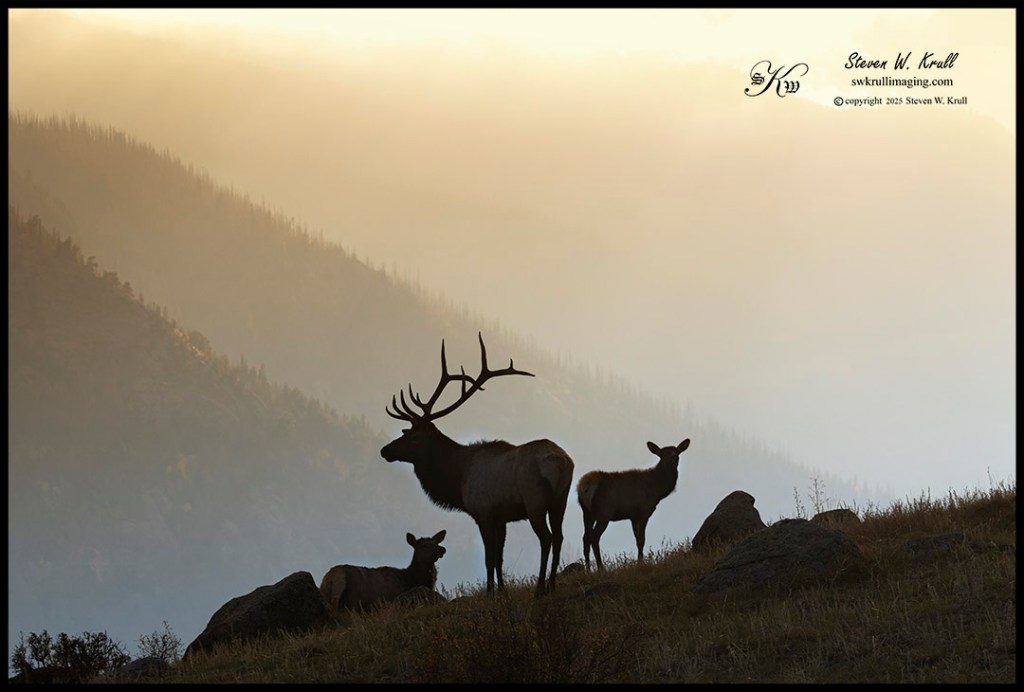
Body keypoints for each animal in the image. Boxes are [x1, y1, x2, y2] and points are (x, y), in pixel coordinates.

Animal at [380, 332, 575, 598]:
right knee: (559, 537)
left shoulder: (483, 512)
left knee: (546, 539)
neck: (458, 477)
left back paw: (539, 589)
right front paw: (502, 591)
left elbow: (488, 558)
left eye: (414, 437)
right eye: (406, 432)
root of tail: (561, 461)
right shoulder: (502, 517)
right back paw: (552, 586)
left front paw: (491, 593)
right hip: (560, 501)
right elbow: (500, 558)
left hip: (535, 501)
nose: (385, 450)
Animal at [577, 438, 691, 570]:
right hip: (604, 512)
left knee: (585, 537)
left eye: (677, 453)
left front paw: (639, 560)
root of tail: (584, 486)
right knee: (594, 537)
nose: (673, 459)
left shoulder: (633, 516)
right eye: (662, 455)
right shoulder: (644, 511)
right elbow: (642, 539)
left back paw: (588, 569)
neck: (657, 490)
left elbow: (636, 539)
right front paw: (641, 562)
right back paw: (601, 568)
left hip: (587, 512)